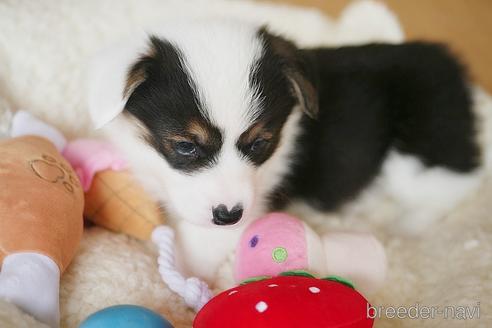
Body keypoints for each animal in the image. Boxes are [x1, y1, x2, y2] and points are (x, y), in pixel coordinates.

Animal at [88, 21, 480, 280]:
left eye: (260, 143)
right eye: (186, 145)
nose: (230, 215)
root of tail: (449, 63)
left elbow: (195, 248)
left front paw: (183, 283)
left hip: (420, 147)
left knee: (455, 181)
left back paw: (404, 224)